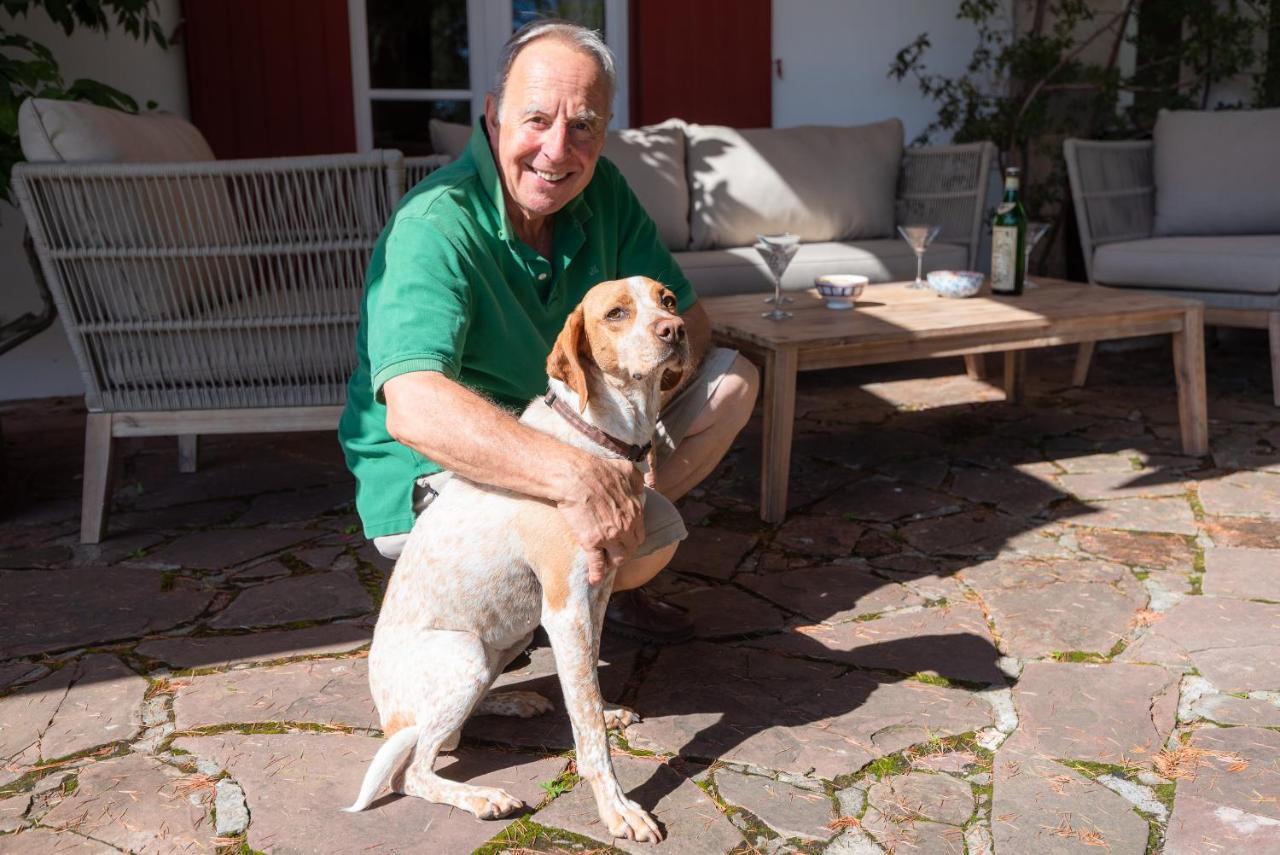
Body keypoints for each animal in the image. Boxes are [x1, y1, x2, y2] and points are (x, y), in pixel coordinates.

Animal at [345, 275, 691, 839]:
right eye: (616, 313)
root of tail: (388, 717)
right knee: (414, 770)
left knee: (454, 730)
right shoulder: (565, 607)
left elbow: (587, 690)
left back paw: (513, 701)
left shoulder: (596, 594)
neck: (599, 437)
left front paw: (605, 707)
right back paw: (481, 796)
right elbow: (590, 735)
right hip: (464, 652)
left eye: (668, 300)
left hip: (506, 641)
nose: (675, 330)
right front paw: (618, 808)